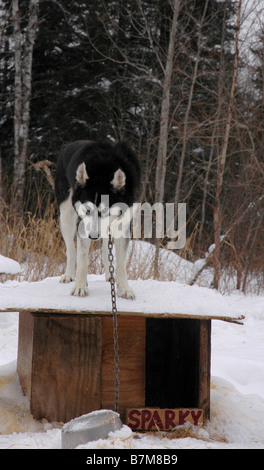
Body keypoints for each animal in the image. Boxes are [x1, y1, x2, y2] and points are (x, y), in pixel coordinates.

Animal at [55, 140, 141, 300]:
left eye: (105, 210)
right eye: (87, 210)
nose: (93, 236)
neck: (102, 170)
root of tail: (69, 145)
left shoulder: (124, 224)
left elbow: (121, 263)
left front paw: (124, 288)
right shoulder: (82, 224)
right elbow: (82, 260)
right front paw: (80, 286)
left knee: (106, 247)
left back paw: (110, 275)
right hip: (66, 215)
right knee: (71, 249)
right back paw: (69, 275)